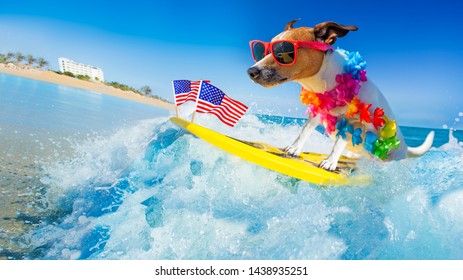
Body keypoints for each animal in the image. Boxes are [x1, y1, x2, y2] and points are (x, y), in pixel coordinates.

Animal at [248, 19, 434, 171]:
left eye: (283, 51)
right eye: (263, 51)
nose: (251, 71)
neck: (328, 82)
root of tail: (405, 147)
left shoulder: (354, 122)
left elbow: (339, 143)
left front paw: (330, 162)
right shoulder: (318, 112)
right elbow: (304, 131)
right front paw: (294, 148)